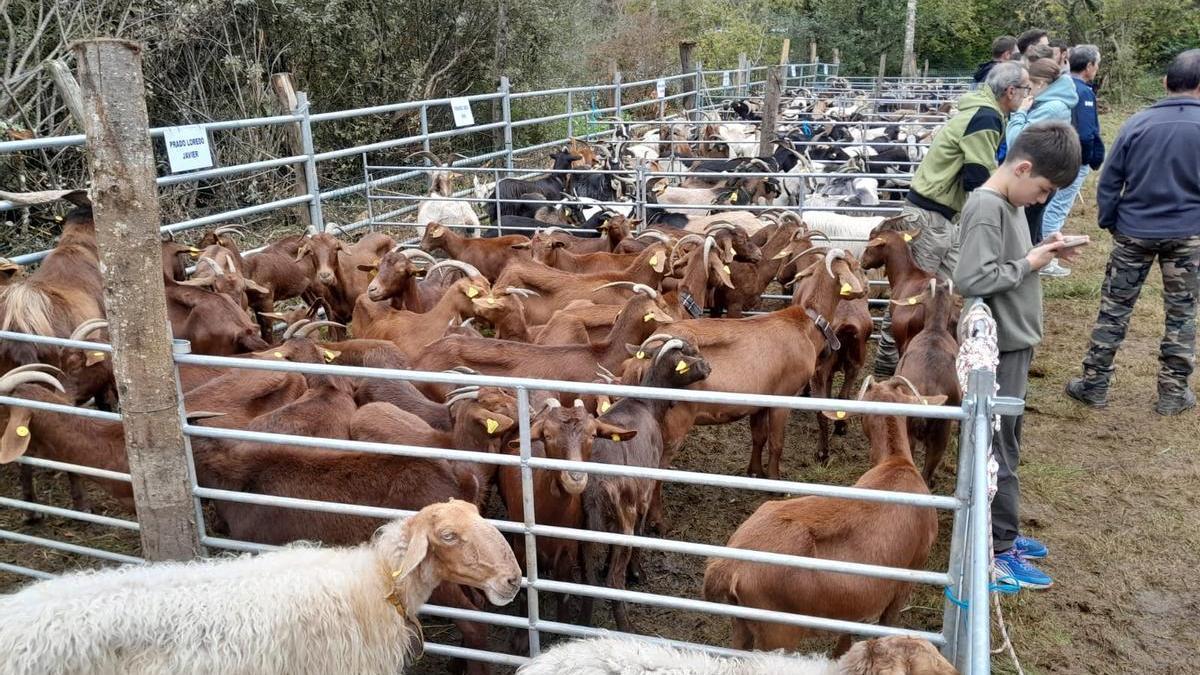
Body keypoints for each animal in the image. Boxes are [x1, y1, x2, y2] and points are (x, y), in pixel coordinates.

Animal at [702, 377, 943, 655]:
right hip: (778, 633)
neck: (896, 464)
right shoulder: (909, 574)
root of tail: (728, 566)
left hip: (741, 621)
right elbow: (886, 623)